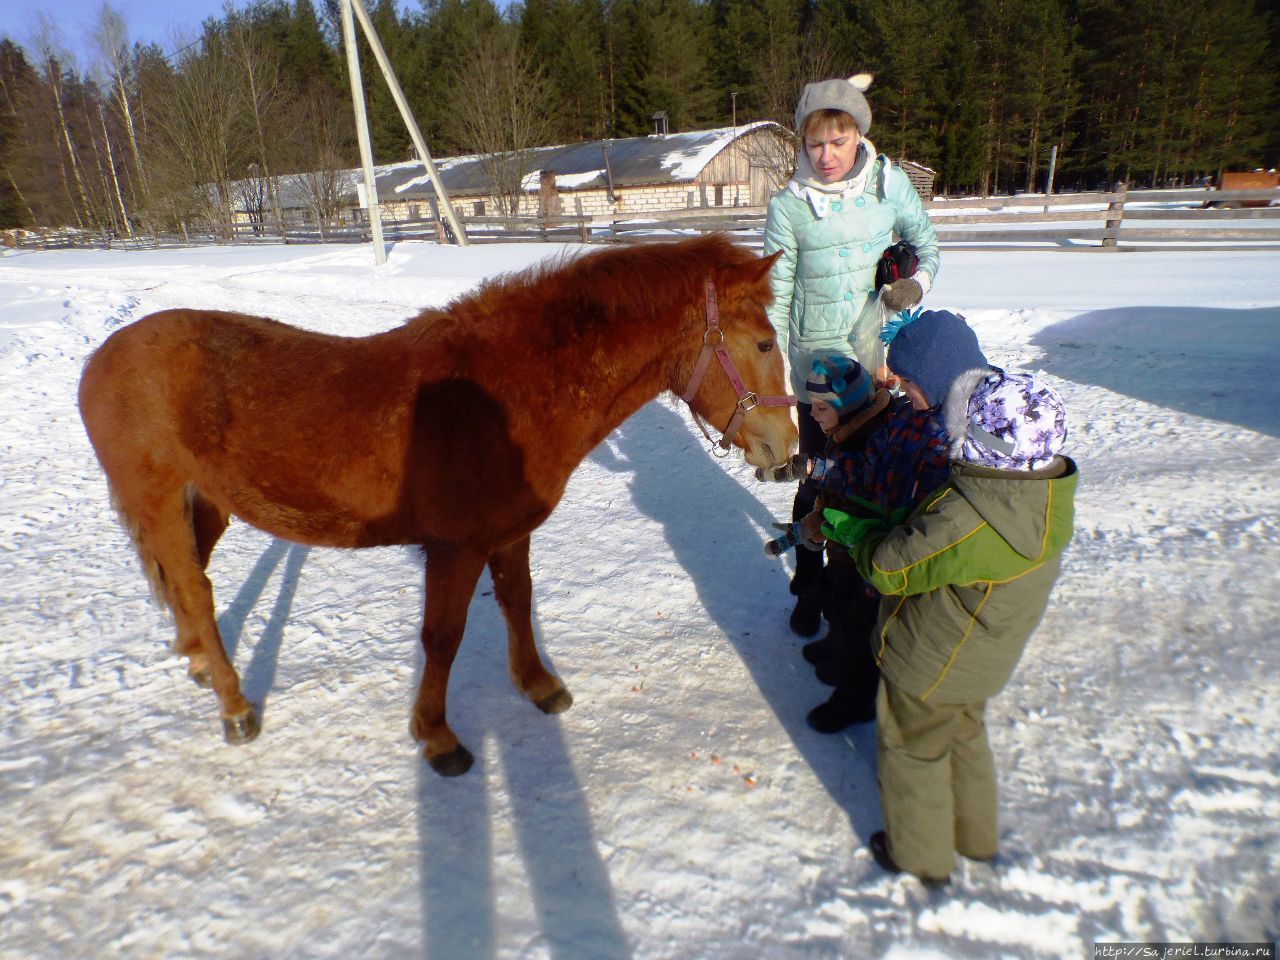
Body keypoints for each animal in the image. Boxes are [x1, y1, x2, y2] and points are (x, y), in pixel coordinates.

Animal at [77, 236, 788, 778]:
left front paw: (539, 686)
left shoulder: (509, 535)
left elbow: (518, 603)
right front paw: (438, 737)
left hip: (206, 504)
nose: (785, 449)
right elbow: (442, 639)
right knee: (194, 590)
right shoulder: (455, 549)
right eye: (763, 343)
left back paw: (199, 661)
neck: (505, 393)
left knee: (185, 580)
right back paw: (235, 708)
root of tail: (104, 356)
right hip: (159, 500)